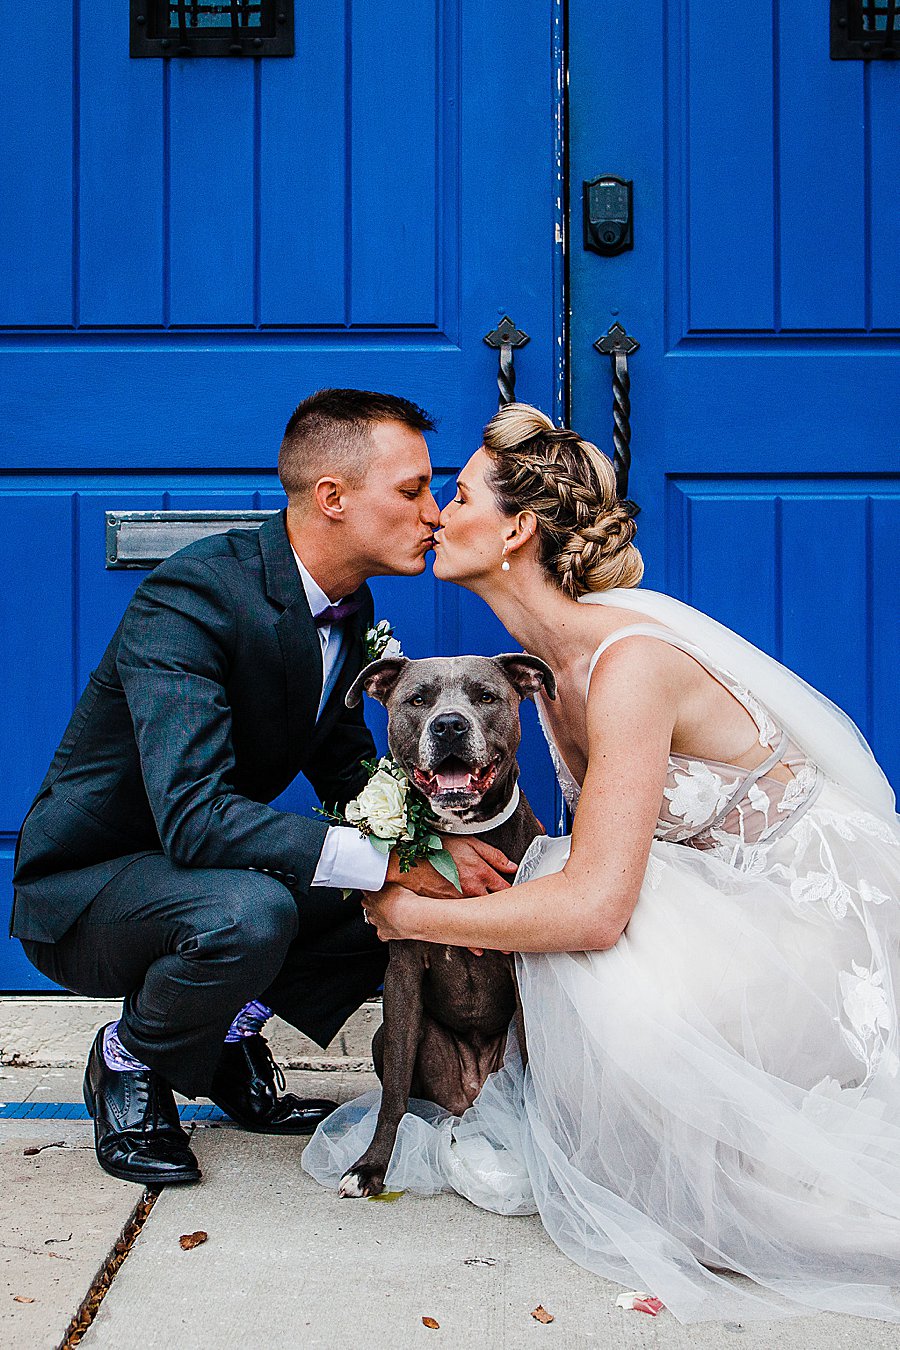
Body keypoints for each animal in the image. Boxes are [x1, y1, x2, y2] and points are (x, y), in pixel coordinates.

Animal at [337, 652, 555, 1198]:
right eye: (418, 699)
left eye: (485, 696)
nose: (451, 724)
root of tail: (470, 1102)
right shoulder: (402, 977)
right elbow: (393, 1090)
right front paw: (372, 1165)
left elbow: (529, 1074)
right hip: (393, 1040)